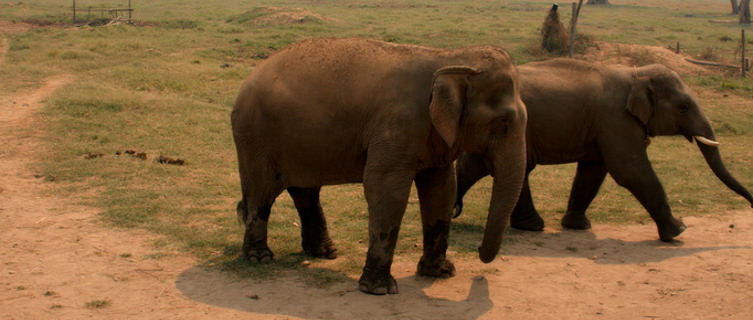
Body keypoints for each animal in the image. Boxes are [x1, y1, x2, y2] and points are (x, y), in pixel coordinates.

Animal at [232, 38, 524, 296]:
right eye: (503, 121)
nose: (478, 251)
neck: (448, 57)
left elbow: (441, 190)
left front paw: (440, 272)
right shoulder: (396, 124)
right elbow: (386, 189)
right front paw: (379, 289)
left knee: (306, 192)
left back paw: (326, 252)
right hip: (255, 136)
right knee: (262, 192)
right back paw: (260, 258)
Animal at [452, 58, 752, 242]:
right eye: (684, 107)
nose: (751, 203)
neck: (636, 73)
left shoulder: (603, 125)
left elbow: (594, 171)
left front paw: (578, 226)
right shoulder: (616, 118)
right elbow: (629, 169)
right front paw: (678, 232)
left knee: (488, 166)